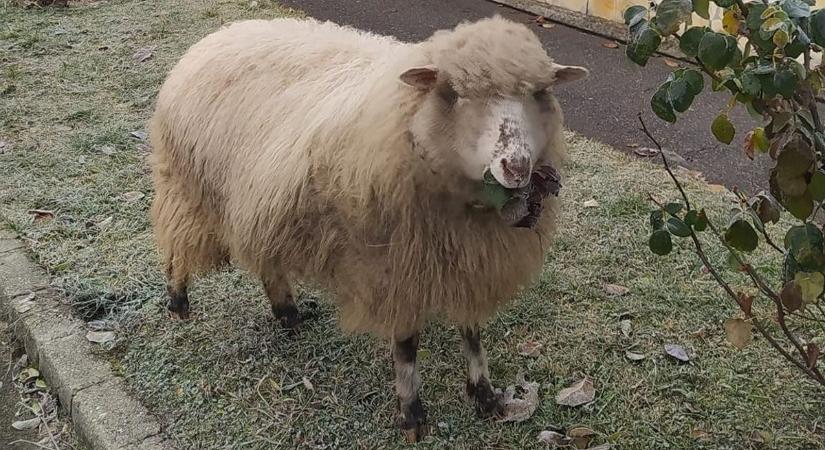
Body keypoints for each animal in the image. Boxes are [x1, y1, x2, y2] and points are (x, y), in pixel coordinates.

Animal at [148, 14, 584, 442]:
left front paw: (485, 395)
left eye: (540, 92)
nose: (517, 166)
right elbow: (406, 346)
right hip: (186, 190)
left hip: (260, 204)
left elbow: (472, 331)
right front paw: (411, 413)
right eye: (454, 93)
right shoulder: (396, 266)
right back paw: (178, 303)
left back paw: (287, 313)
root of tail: (217, 37)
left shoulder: (469, 260)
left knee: (267, 262)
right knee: (176, 250)